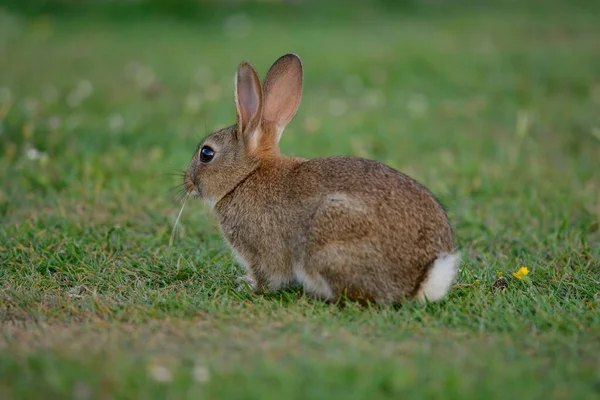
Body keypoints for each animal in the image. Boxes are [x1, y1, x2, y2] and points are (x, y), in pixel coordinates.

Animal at [183, 52, 460, 304]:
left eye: (206, 153)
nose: (186, 183)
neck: (245, 177)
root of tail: (422, 280)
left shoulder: (261, 252)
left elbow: (267, 277)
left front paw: (248, 286)